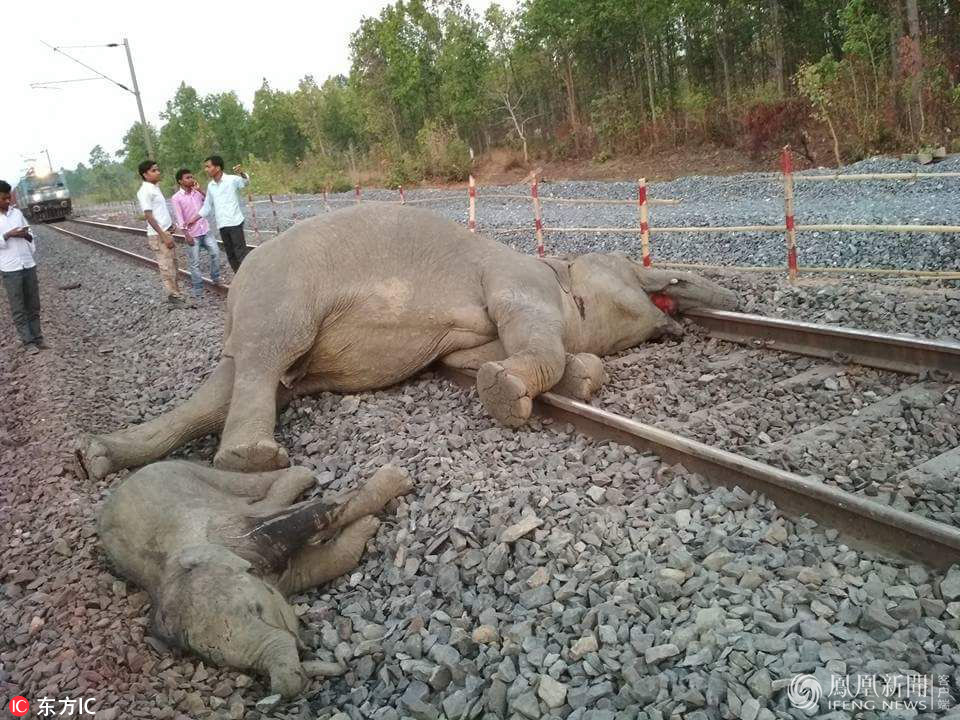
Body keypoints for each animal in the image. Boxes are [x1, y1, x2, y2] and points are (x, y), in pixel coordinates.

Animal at [100, 462, 412, 696]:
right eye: (238, 667)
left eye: (257, 610)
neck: (168, 571)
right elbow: (312, 567)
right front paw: (368, 525)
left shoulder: (232, 531)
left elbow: (306, 516)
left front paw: (397, 479)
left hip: (186, 472)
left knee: (247, 487)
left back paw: (305, 475)